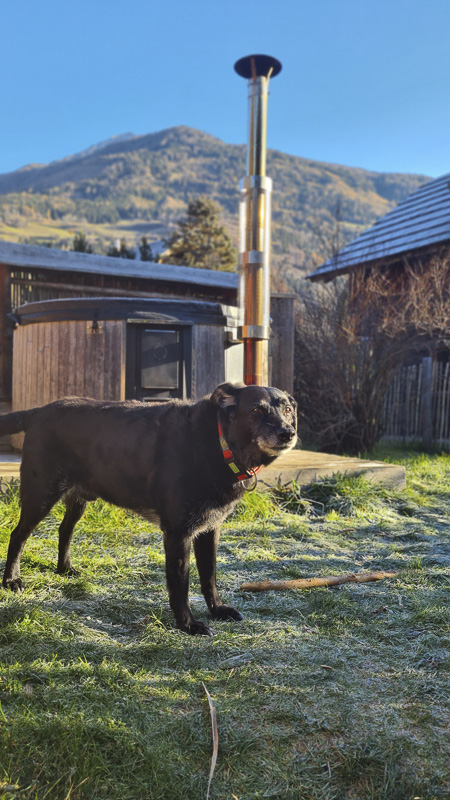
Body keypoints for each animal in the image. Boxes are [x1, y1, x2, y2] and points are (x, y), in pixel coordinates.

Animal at [0, 384, 298, 636]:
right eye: (256, 410)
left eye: (287, 410)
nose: (288, 432)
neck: (217, 442)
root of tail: (38, 412)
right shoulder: (178, 534)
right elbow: (180, 585)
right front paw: (188, 625)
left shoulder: (209, 530)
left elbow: (209, 576)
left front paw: (217, 610)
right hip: (40, 494)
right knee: (18, 535)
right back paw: (12, 580)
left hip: (77, 499)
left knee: (65, 530)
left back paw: (64, 569)